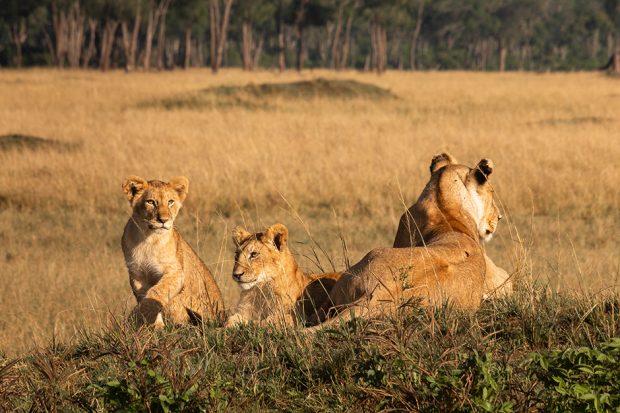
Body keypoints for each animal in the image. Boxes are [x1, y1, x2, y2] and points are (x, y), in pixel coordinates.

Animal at [120, 175, 224, 326]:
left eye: (170, 202)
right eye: (151, 202)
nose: (163, 220)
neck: (148, 239)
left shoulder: (176, 272)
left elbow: (157, 292)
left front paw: (141, 315)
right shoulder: (137, 274)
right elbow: (145, 296)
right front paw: (155, 325)